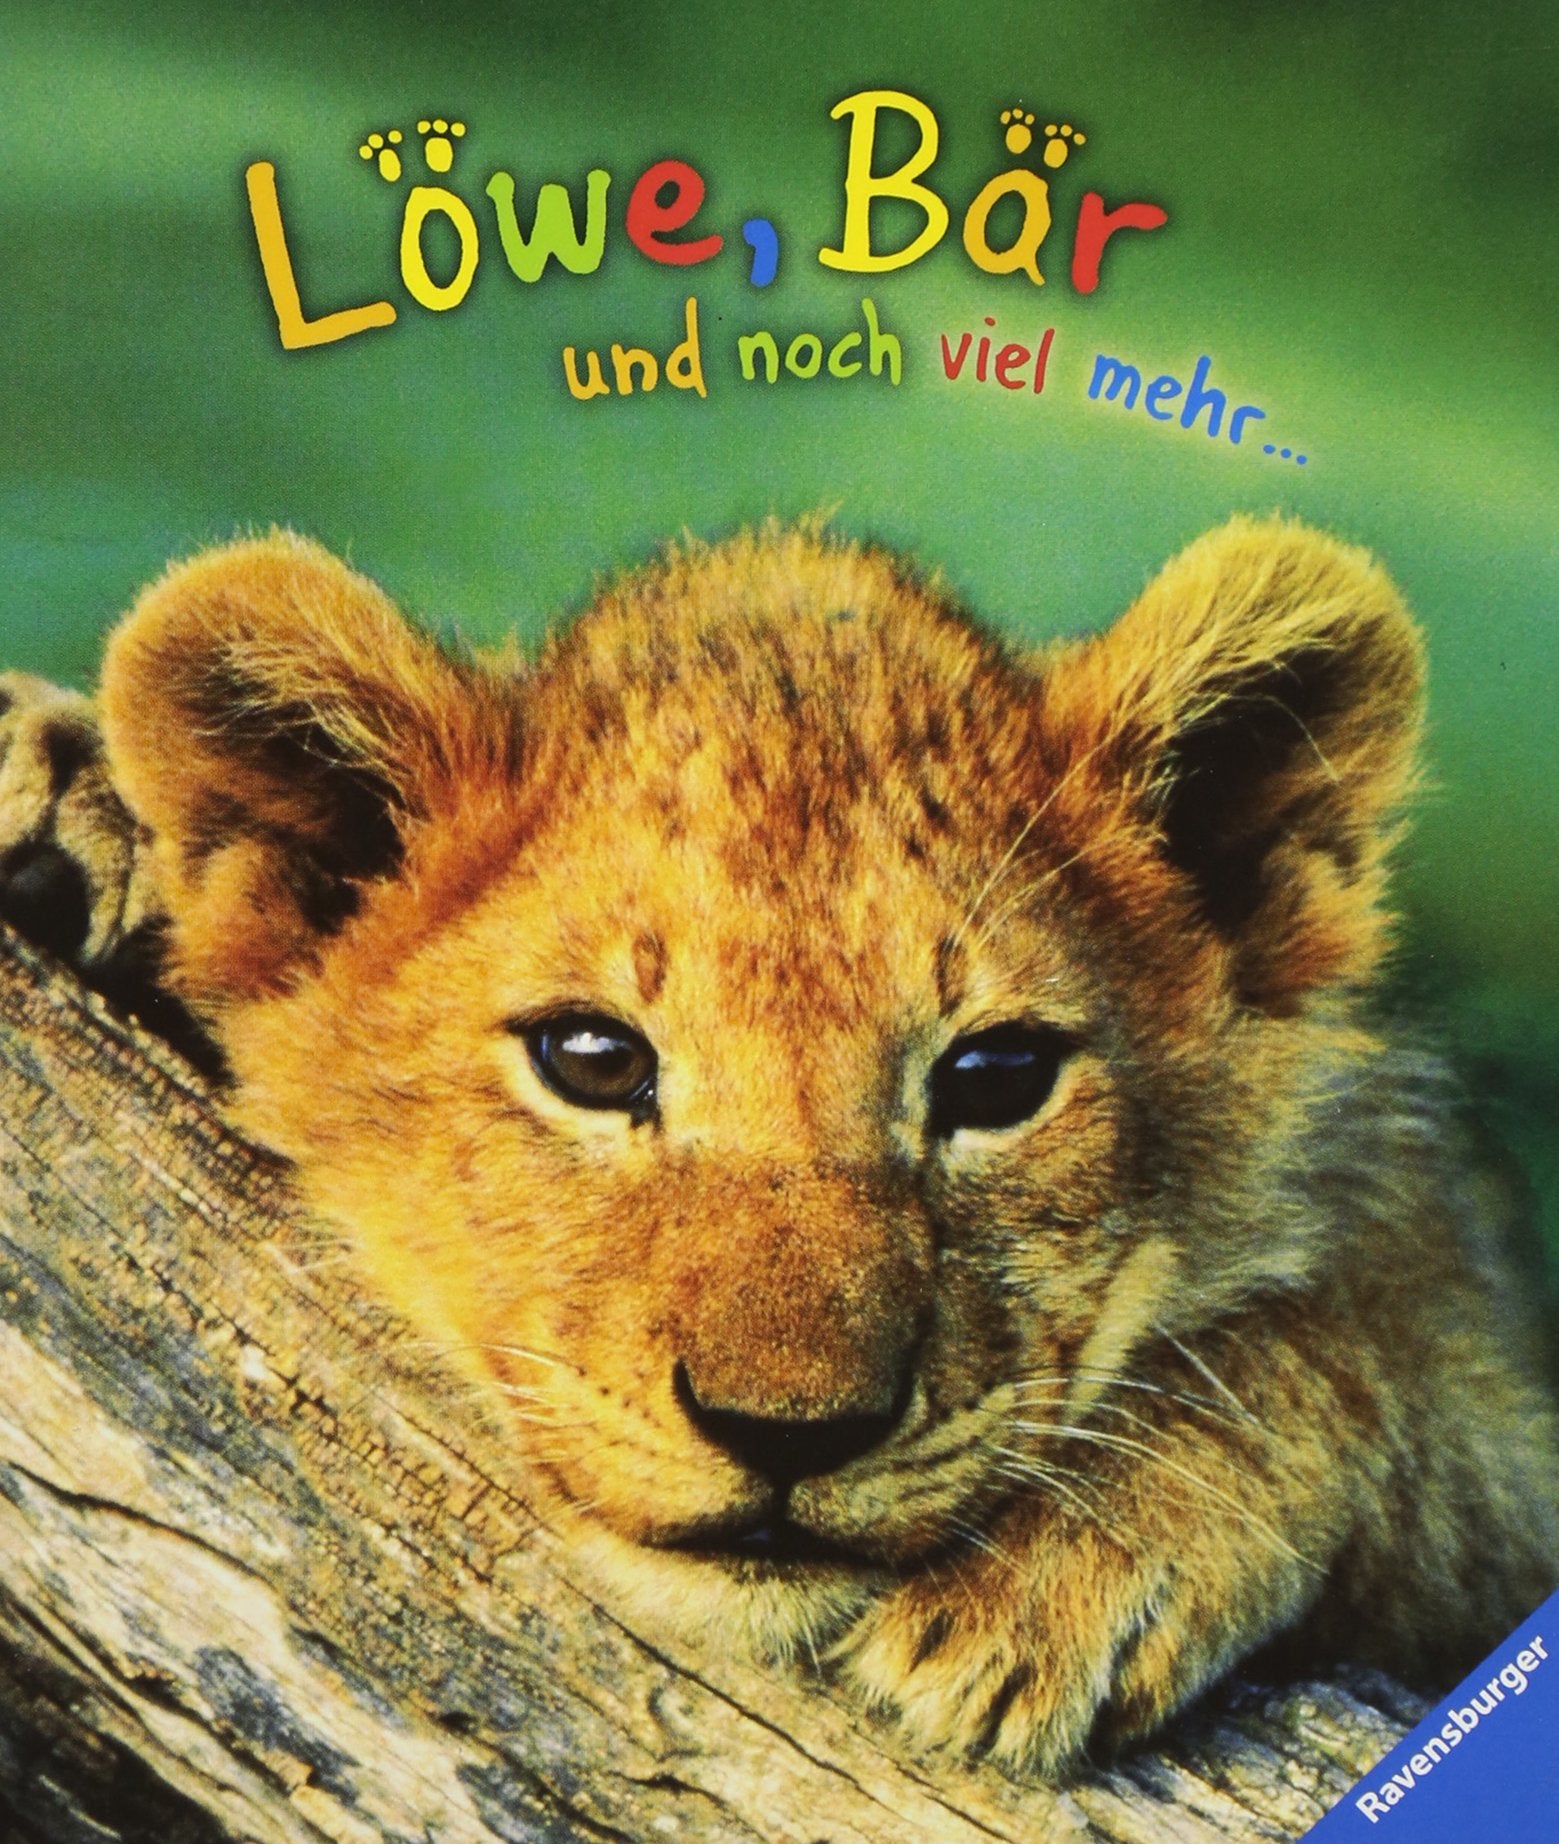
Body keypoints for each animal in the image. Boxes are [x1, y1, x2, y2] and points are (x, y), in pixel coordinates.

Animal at [0, 516, 1554, 1775]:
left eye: (995, 1076)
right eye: (591, 1059)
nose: (785, 1432)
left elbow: (1363, 1357)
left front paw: (1064, 1572)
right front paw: (66, 803)